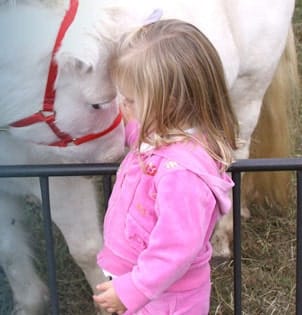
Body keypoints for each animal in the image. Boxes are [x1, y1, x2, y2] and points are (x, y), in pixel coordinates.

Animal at [0, 0, 298, 314]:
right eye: (98, 104)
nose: (116, 155)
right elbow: (9, 251)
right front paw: (29, 303)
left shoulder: (63, 185)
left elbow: (87, 249)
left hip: (248, 90)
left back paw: (222, 236)